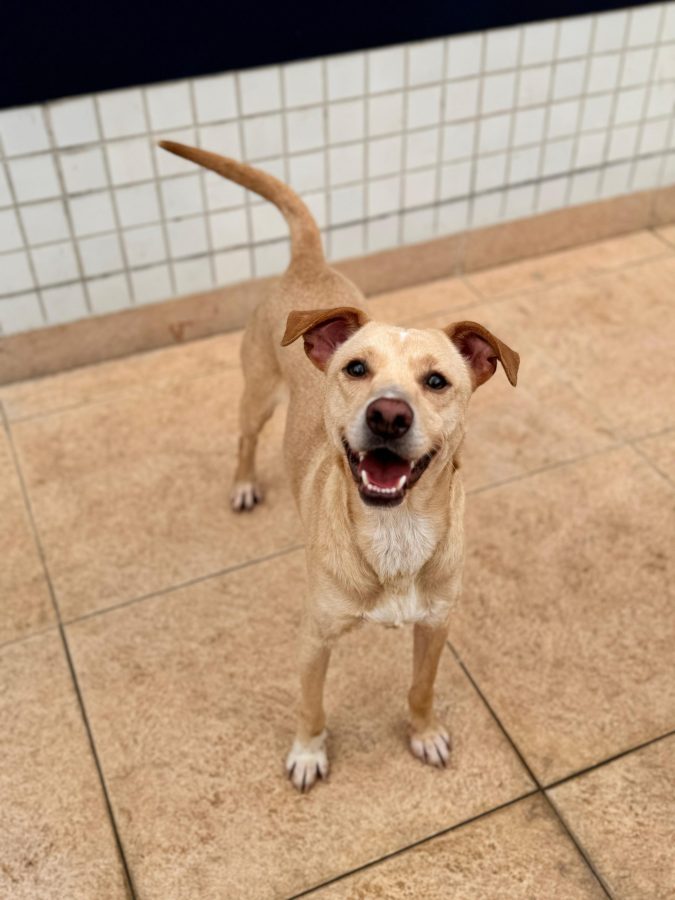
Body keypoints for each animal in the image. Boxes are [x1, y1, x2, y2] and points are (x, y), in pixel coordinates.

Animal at [161, 139, 520, 788]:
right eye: (356, 368)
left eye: (437, 381)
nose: (388, 415)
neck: (395, 532)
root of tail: (309, 265)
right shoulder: (314, 637)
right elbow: (311, 704)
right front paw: (308, 752)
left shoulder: (436, 627)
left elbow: (422, 688)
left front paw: (423, 733)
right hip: (257, 394)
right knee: (244, 440)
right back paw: (244, 485)